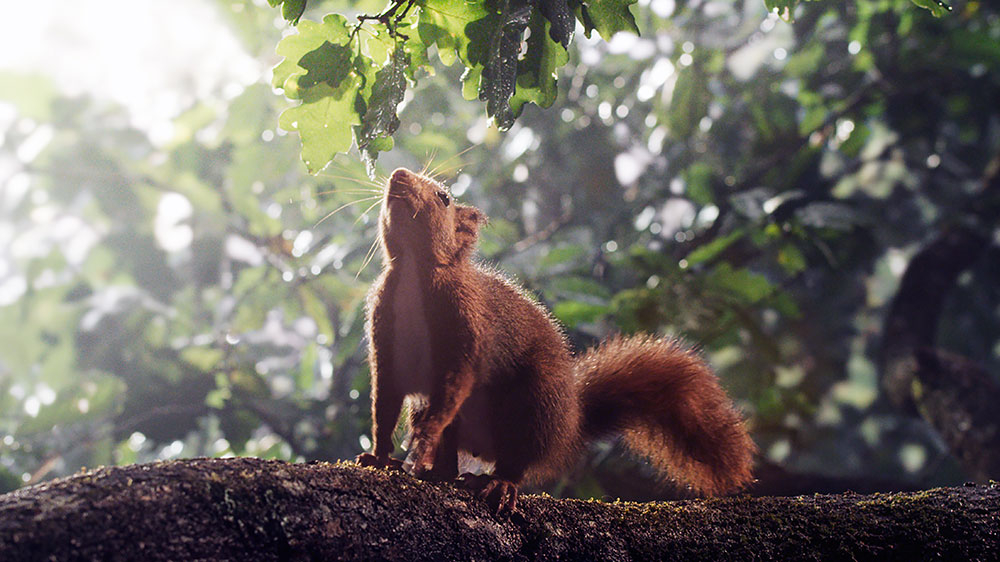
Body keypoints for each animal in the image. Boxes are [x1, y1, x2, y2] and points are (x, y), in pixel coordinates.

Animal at [356, 167, 752, 512]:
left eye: (444, 198)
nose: (398, 174)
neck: (414, 272)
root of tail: (570, 425)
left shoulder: (467, 326)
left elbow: (454, 387)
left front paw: (422, 441)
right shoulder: (385, 336)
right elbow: (384, 402)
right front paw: (379, 457)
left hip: (536, 405)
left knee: (516, 460)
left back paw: (497, 483)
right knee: (453, 457)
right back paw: (439, 473)